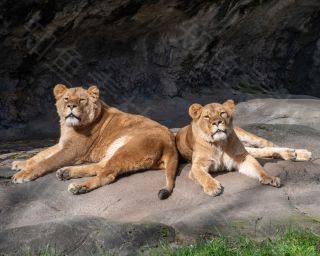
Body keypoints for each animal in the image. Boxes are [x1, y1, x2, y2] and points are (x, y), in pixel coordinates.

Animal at [11, 85, 178, 199]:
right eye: (66, 98)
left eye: (81, 100)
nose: (71, 106)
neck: (68, 126)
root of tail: (170, 142)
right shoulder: (62, 144)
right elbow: (41, 154)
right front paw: (20, 164)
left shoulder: (72, 151)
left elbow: (47, 161)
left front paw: (23, 175)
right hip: (115, 149)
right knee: (101, 166)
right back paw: (66, 172)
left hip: (128, 149)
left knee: (107, 174)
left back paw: (79, 187)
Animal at [176, 100, 312, 196]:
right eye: (207, 117)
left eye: (222, 113)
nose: (217, 122)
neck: (220, 144)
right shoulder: (197, 165)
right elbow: (202, 176)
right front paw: (212, 187)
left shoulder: (243, 158)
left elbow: (258, 168)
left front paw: (269, 177)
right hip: (248, 149)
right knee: (263, 151)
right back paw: (292, 154)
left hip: (249, 139)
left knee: (270, 145)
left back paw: (300, 153)